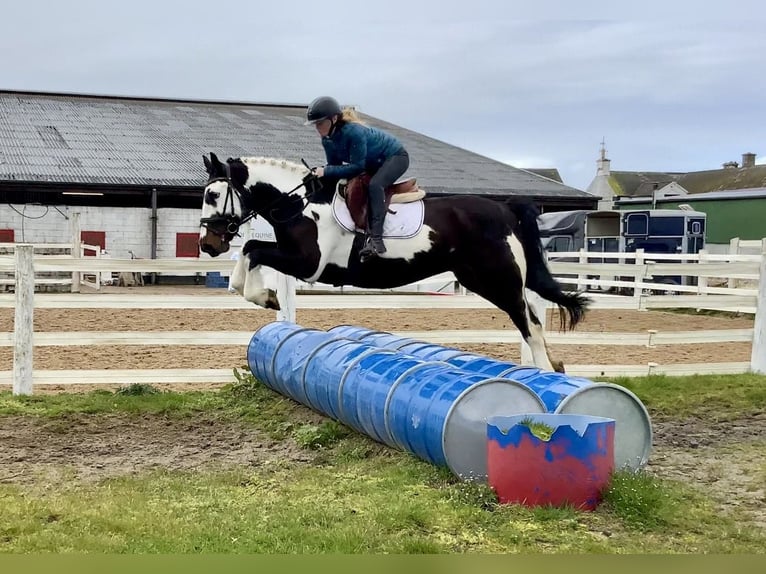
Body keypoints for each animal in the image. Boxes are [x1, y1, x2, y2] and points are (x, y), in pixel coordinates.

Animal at [198, 152, 589, 372]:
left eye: (213, 195)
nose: (207, 243)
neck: (299, 205)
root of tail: (505, 208)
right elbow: (250, 250)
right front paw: (260, 294)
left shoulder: (308, 264)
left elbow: (252, 250)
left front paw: (266, 298)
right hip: (481, 279)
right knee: (532, 320)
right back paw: (554, 368)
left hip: (500, 280)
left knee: (530, 324)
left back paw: (546, 375)